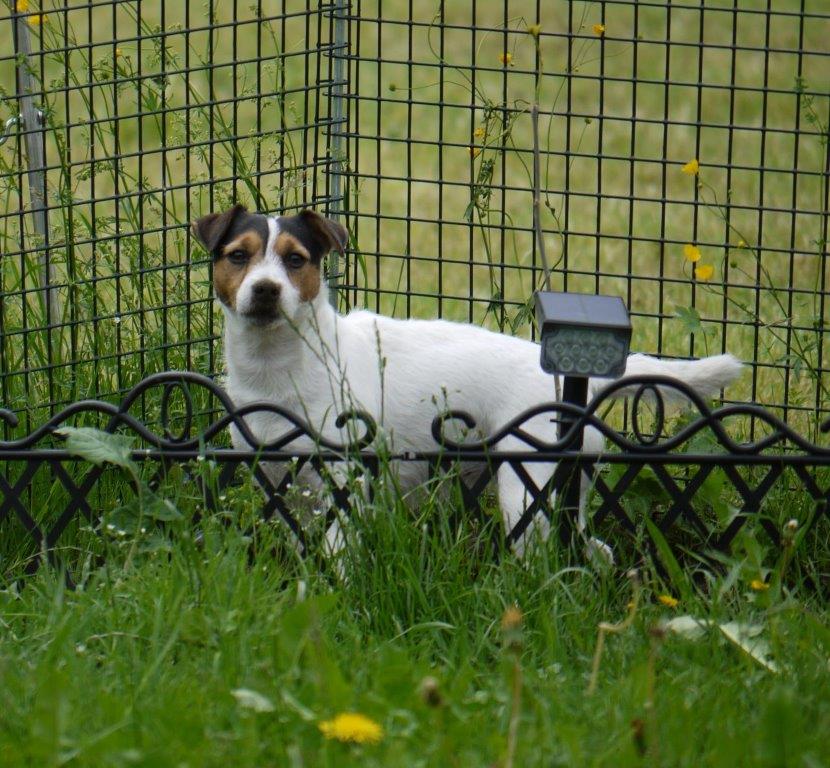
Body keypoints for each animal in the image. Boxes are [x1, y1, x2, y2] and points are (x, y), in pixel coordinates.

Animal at [192, 205, 742, 554]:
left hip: (527, 492)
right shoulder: (282, 489)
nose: (266, 290)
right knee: (596, 551)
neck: (279, 367)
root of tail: (570, 386)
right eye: (238, 256)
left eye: (295, 260)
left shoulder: (344, 484)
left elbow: (337, 551)